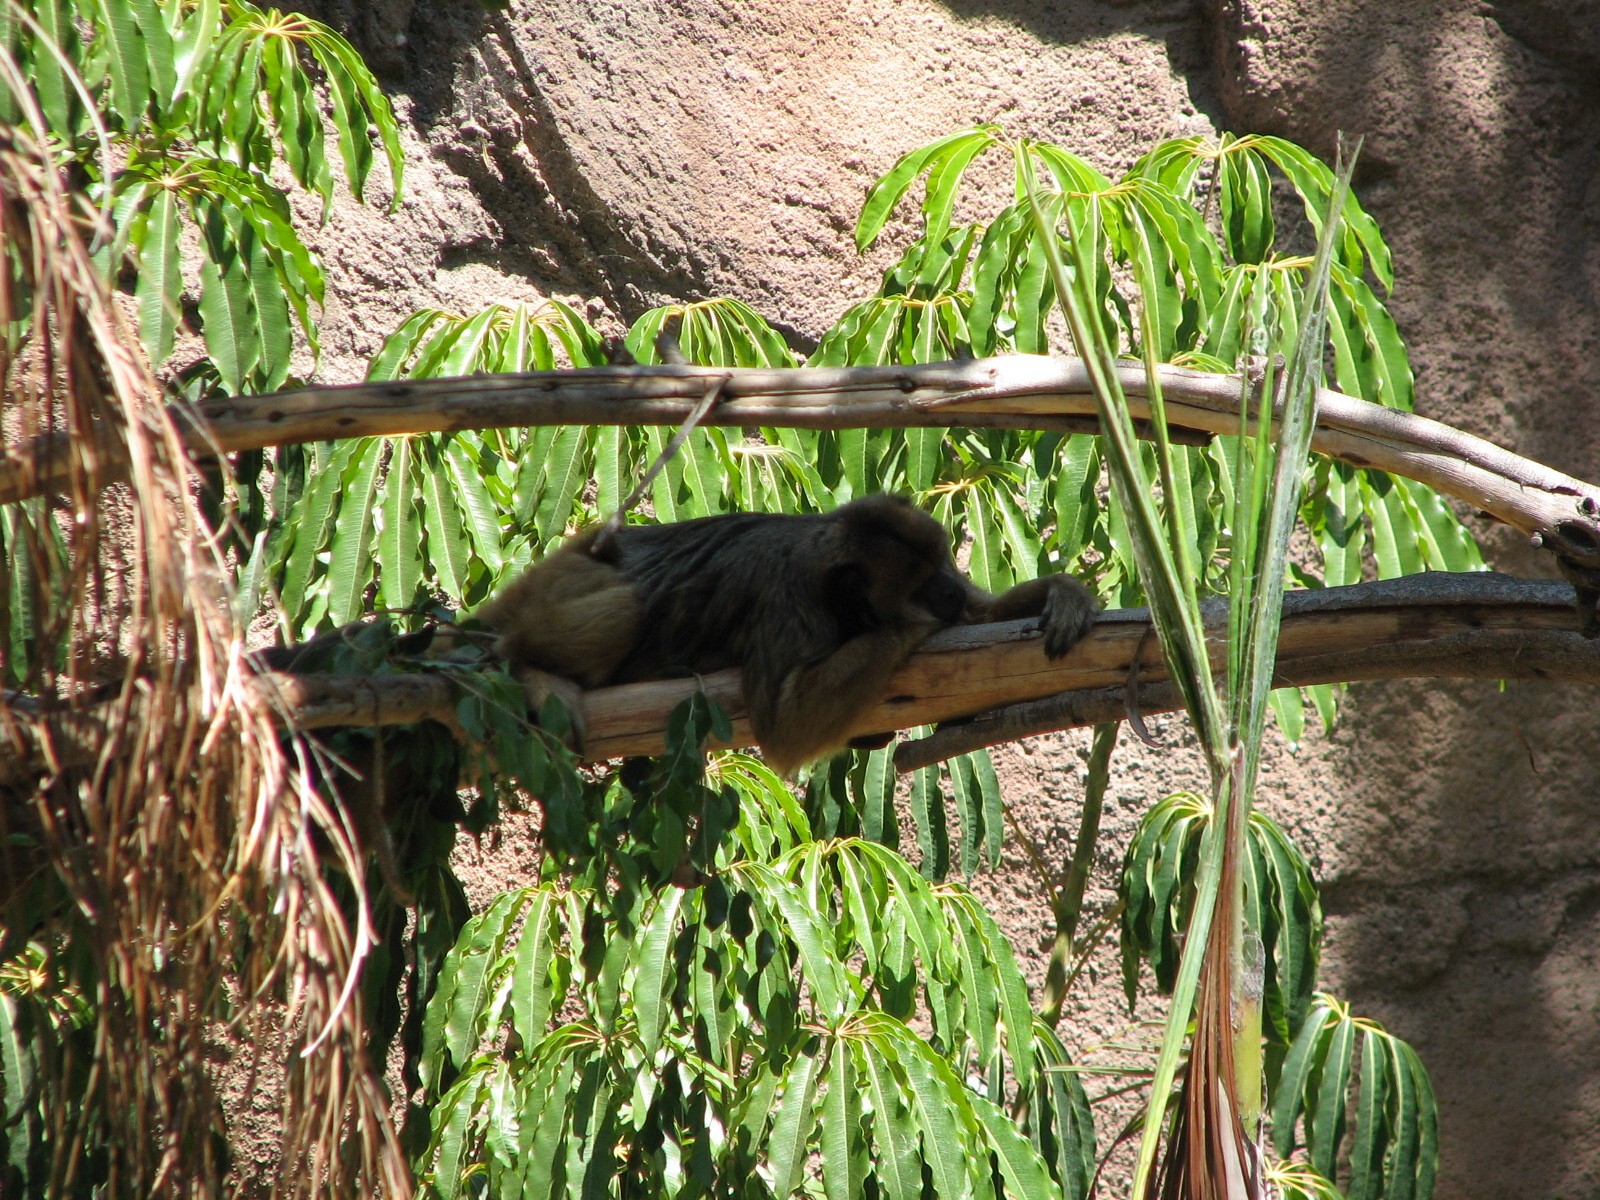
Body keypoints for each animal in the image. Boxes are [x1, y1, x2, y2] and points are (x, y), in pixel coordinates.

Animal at [478, 495, 1098, 775]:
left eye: (944, 564)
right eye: (921, 586)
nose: (947, 590)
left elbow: (985, 617)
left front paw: (1063, 591)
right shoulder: (786, 604)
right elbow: (785, 725)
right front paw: (918, 624)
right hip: (558, 585)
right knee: (625, 608)